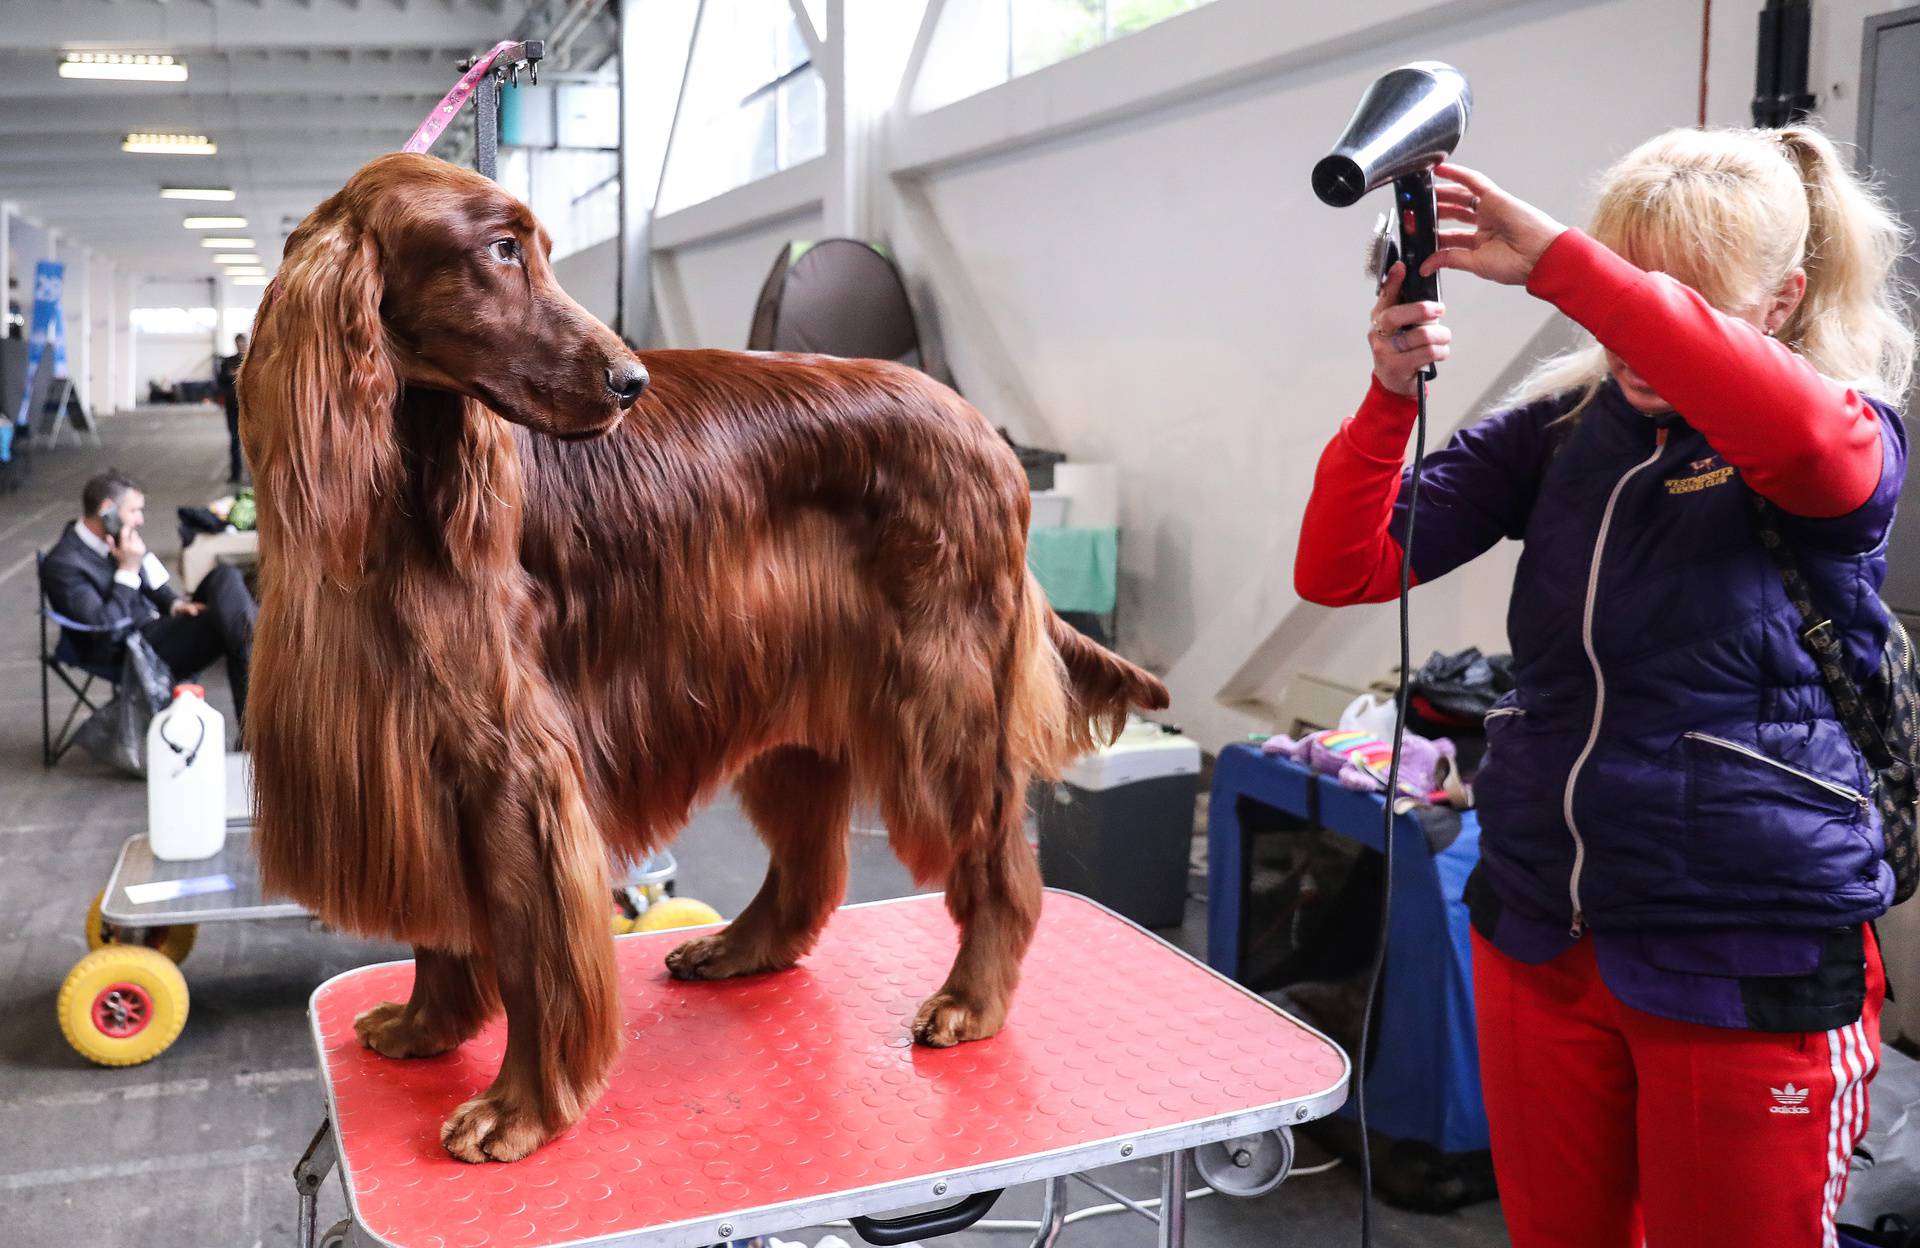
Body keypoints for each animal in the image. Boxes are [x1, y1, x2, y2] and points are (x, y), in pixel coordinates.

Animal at [241, 152, 1167, 1159]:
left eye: (541, 248)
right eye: (500, 251)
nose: (630, 380)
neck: (395, 484)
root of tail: (976, 426)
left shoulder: (511, 761)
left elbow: (530, 949)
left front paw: (521, 1106)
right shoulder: (414, 750)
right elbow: (443, 925)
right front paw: (423, 1027)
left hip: (939, 698)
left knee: (998, 859)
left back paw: (971, 999)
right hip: (788, 697)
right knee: (811, 864)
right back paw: (738, 948)